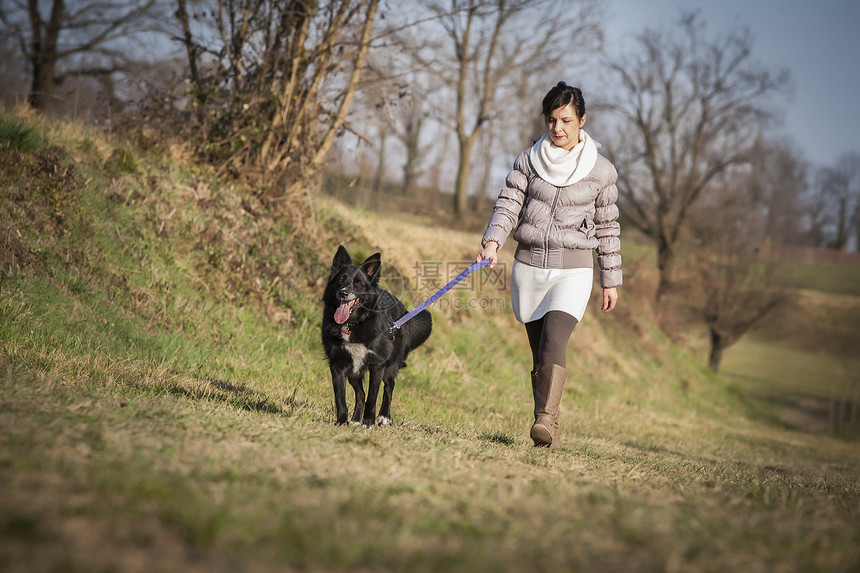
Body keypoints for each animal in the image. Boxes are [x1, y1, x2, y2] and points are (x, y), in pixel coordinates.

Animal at [320, 244, 434, 426]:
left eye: (358, 283)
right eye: (340, 279)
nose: (343, 293)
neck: (354, 323)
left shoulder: (377, 365)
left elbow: (373, 397)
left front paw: (368, 422)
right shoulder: (338, 364)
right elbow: (341, 398)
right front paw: (342, 421)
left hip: (390, 366)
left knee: (389, 386)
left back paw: (383, 417)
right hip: (355, 372)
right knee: (360, 394)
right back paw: (355, 420)